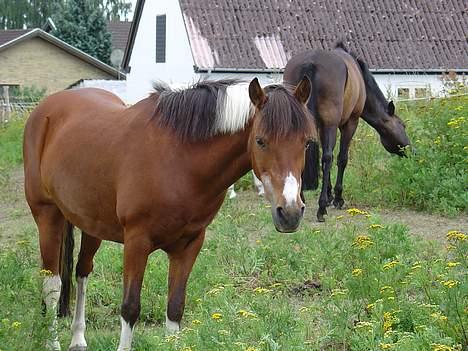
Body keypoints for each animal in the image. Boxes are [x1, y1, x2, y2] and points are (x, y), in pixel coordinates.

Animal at [22, 78, 316, 350]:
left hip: (90, 222)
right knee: (52, 285)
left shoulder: (189, 244)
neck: (179, 159)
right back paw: (53, 342)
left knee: (82, 272)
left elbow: (175, 308)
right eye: (260, 140)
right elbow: (130, 308)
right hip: (47, 216)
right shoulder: (136, 243)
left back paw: (78, 339)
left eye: (306, 143)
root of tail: (46, 109)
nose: (290, 212)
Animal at [282, 42, 410, 221]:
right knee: (328, 158)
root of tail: (311, 62)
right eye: (402, 125)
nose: (411, 150)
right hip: (332, 124)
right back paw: (321, 208)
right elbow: (341, 158)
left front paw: (329, 194)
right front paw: (337, 198)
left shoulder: (320, 127)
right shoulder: (349, 123)